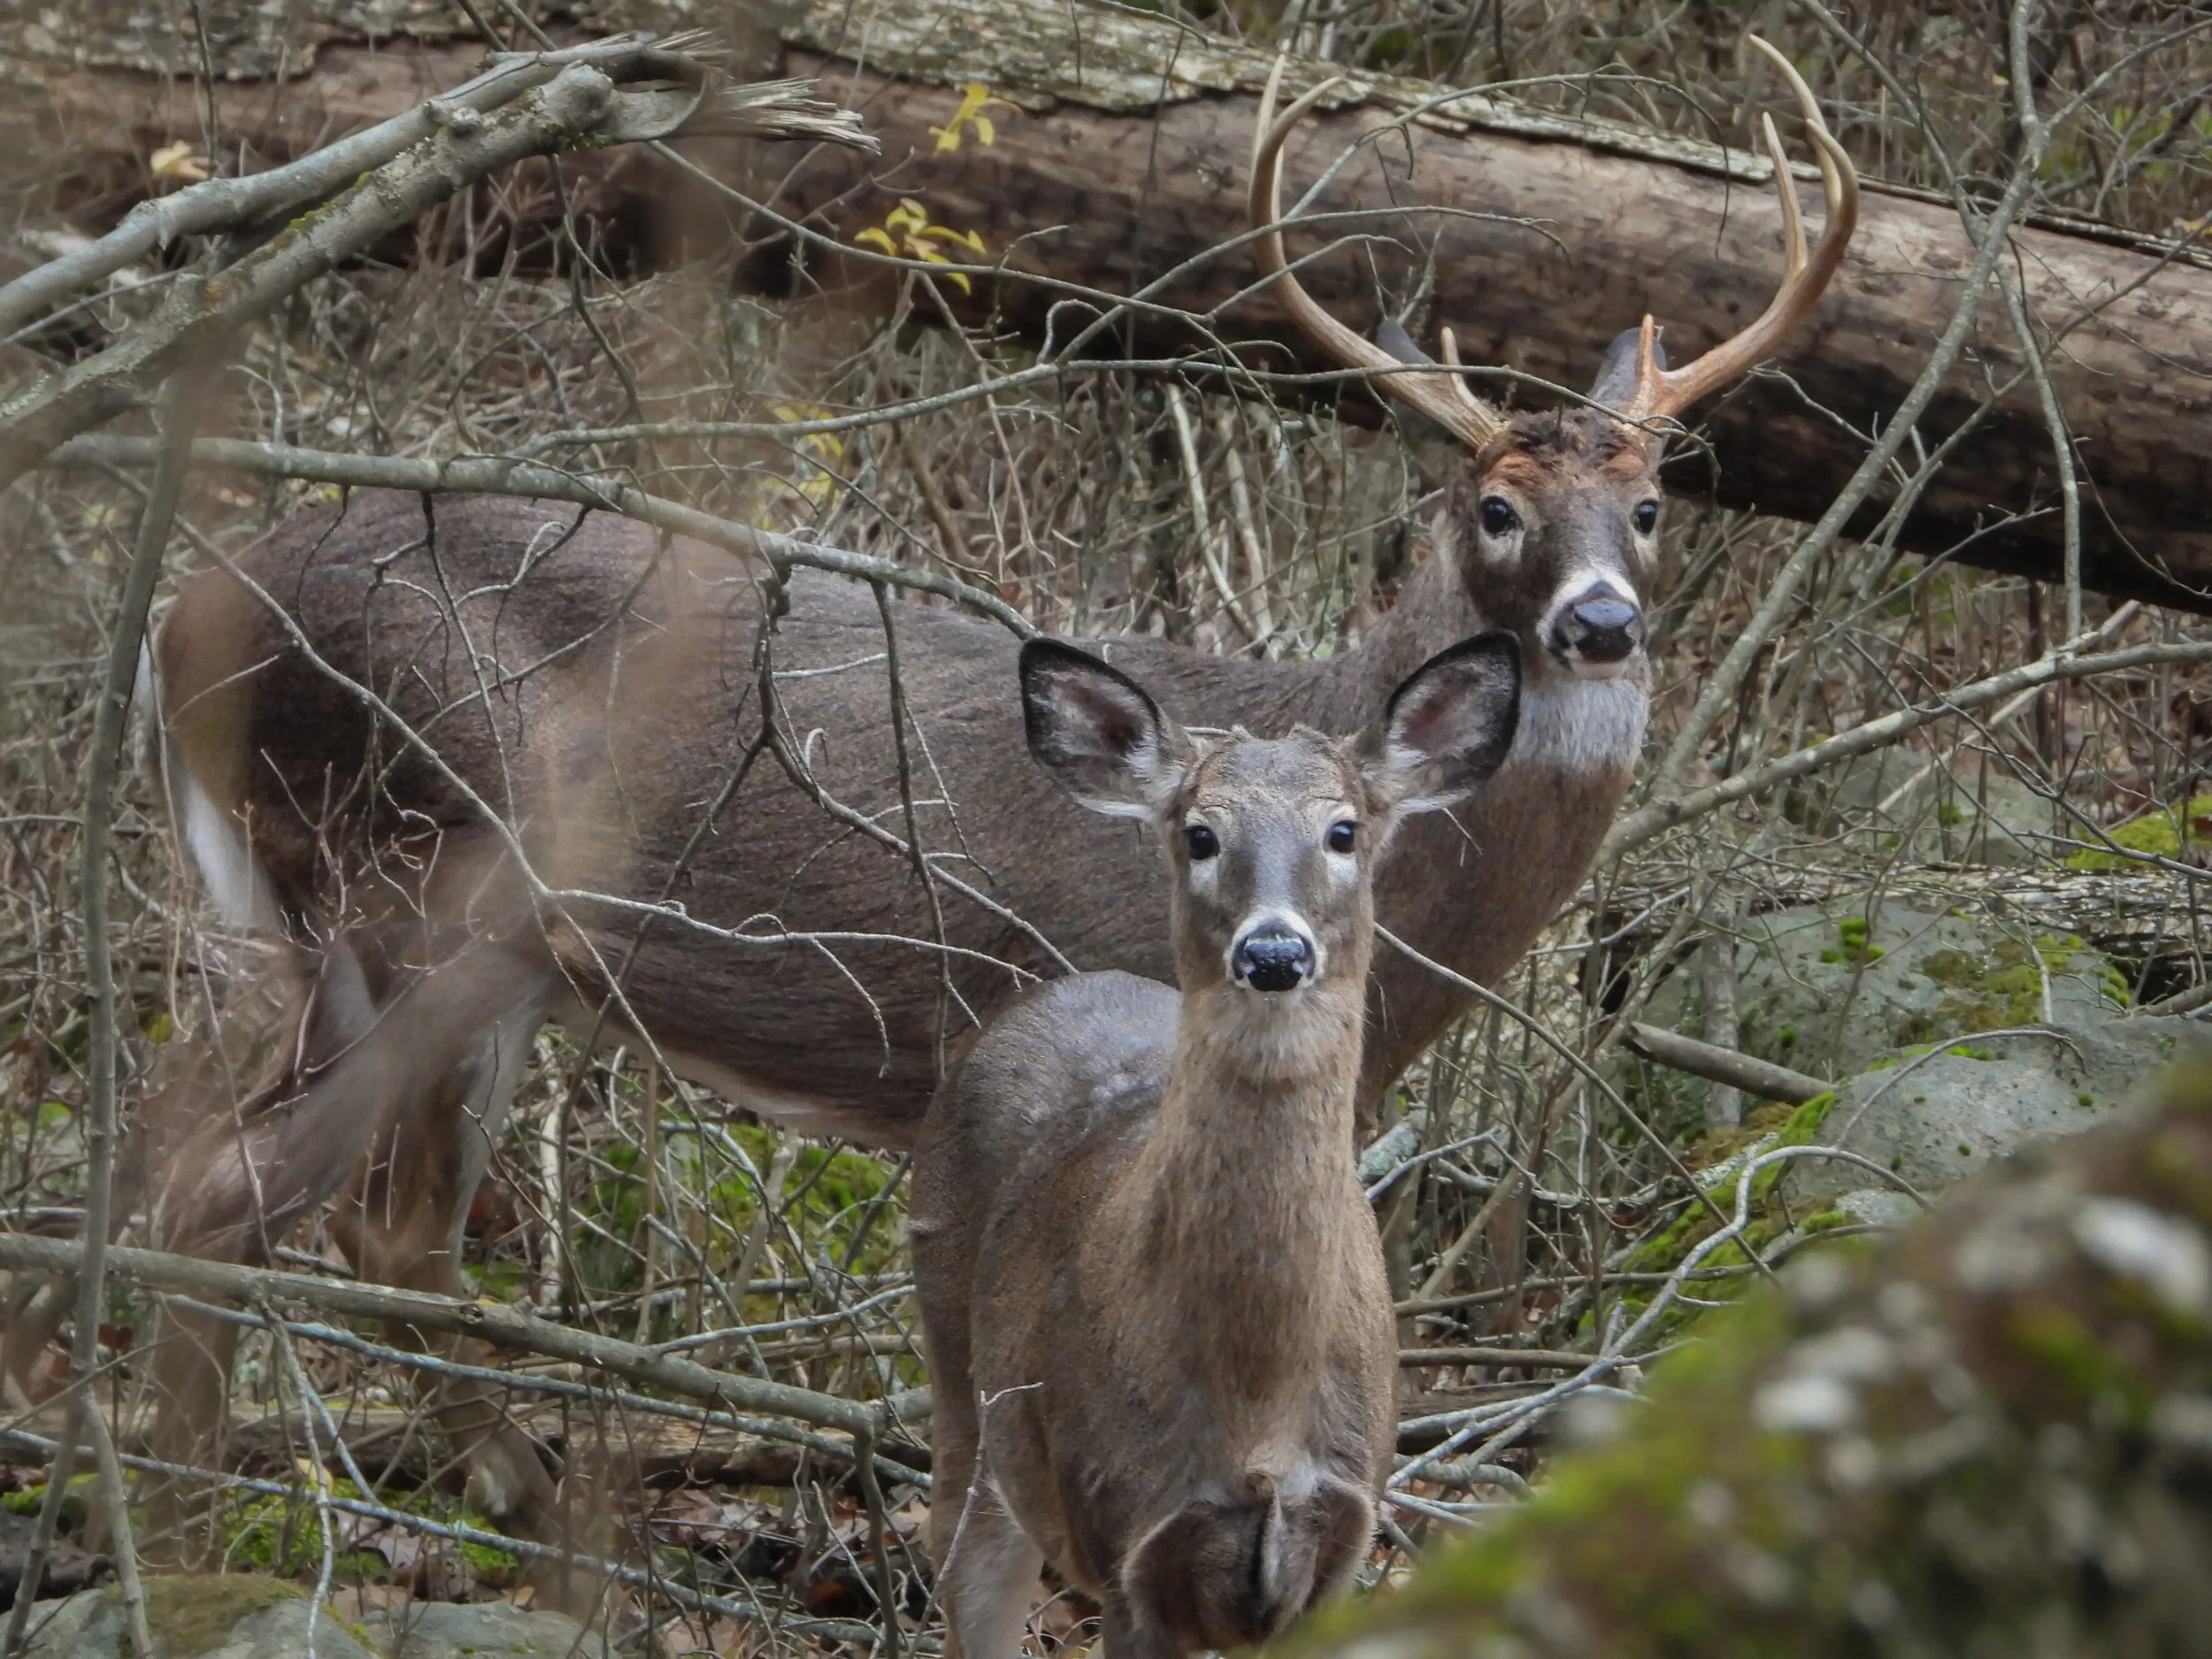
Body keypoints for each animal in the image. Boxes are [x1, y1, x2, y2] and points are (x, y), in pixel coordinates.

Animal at [109, 41, 1856, 1546]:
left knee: (325, 1209)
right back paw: (228, 1539)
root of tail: (183, 621)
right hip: (412, 877)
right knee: (246, 1195)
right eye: (1494, 506)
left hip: (429, 944)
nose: (1600, 622)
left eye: (1653, 502)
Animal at [913, 630, 1522, 1659]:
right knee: (964, 1569)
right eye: (1200, 834)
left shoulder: (1339, 1541)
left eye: (1344, 830)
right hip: (961, 1366)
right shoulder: (1128, 1539)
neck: (1259, 1409)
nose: (1273, 952)